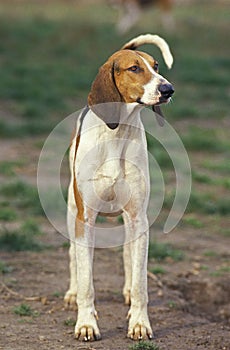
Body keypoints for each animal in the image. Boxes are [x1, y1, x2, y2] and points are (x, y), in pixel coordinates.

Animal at [63, 33, 173, 342]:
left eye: (156, 66)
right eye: (134, 68)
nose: (168, 88)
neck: (117, 131)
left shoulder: (139, 219)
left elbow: (140, 283)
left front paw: (139, 323)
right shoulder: (85, 219)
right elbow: (87, 281)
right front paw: (86, 323)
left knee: (128, 256)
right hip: (71, 212)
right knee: (73, 256)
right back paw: (72, 293)